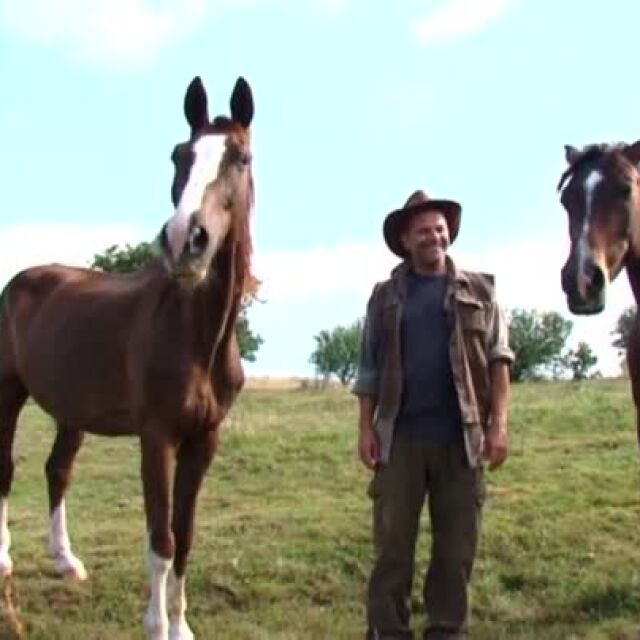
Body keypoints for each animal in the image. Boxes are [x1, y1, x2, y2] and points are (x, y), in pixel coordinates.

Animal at [0, 76, 255, 640]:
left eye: (241, 157)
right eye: (179, 154)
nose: (186, 240)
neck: (196, 333)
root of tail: (22, 280)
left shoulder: (204, 441)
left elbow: (185, 536)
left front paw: (182, 625)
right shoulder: (157, 438)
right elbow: (161, 539)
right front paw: (157, 625)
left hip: (71, 410)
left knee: (57, 470)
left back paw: (65, 560)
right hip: (6, 392)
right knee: (4, 467)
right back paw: (3, 559)